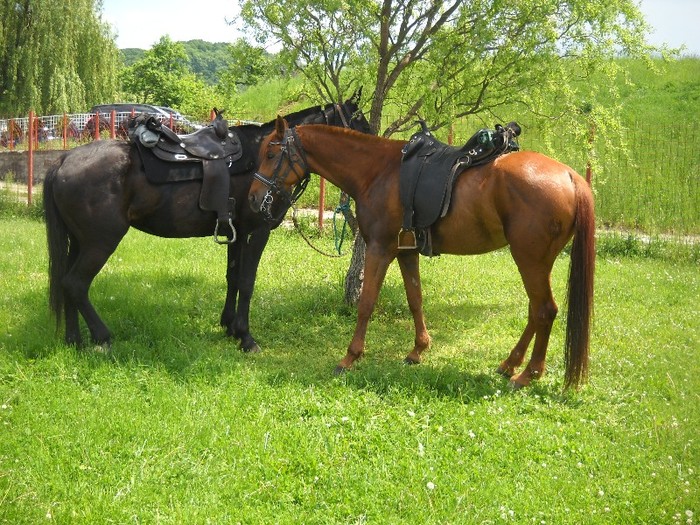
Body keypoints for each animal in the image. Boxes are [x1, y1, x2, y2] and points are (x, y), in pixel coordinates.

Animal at [43, 98, 372, 352]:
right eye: (360, 122)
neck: (263, 157)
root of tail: (64, 160)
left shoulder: (237, 232)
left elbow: (233, 277)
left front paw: (229, 327)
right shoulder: (257, 232)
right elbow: (247, 282)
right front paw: (246, 337)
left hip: (79, 242)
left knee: (66, 283)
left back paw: (74, 340)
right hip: (101, 242)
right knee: (76, 284)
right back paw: (102, 337)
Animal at [249, 118, 592, 388]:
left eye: (271, 154)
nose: (253, 199)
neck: (376, 171)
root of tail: (571, 177)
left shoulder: (380, 249)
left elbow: (366, 303)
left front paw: (350, 357)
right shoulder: (406, 251)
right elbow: (415, 299)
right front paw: (418, 350)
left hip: (530, 260)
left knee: (545, 310)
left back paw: (527, 374)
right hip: (536, 262)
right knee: (536, 311)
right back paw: (510, 364)